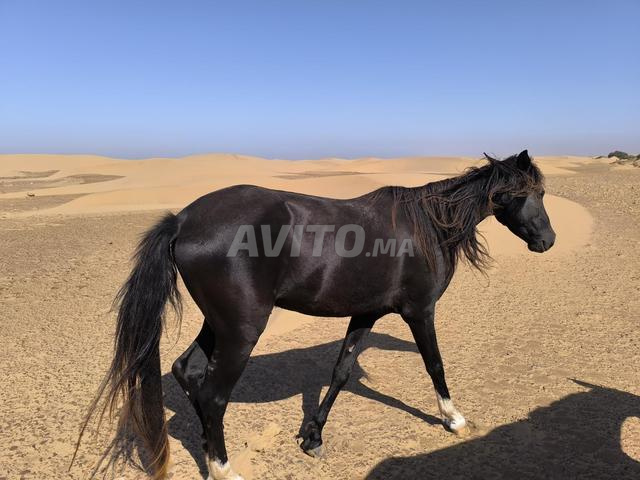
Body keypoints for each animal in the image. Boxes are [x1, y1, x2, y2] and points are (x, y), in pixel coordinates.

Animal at [78, 150, 555, 479]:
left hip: (219, 324)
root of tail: (183, 220)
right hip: (242, 330)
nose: (547, 241)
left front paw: (312, 436)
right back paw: (223, 467)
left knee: (188, 371)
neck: (428, 225)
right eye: (531, 194)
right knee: (213, 394)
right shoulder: (419, 312)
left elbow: (340, 372)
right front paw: (453, 418)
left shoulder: (366, 314)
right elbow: (434, 364)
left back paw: (208, 448)